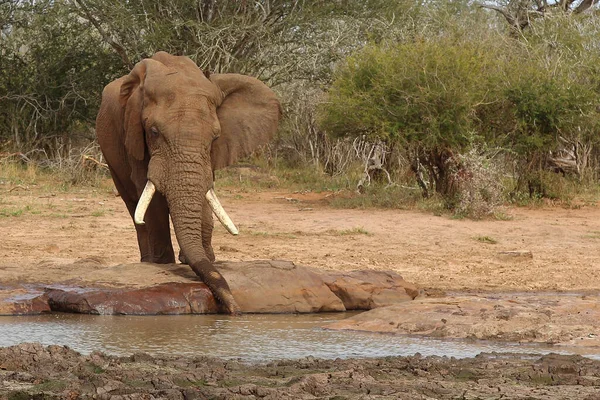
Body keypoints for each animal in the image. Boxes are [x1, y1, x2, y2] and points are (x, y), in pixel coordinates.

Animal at [95, 51, 282, 314]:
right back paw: (149, 261)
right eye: (153, 132)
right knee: (133, 204)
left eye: (215, 137)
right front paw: (164, 263)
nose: (234, 311)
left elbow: (205, 191)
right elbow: (151, 197)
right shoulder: (133, 134)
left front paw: (205, 258)